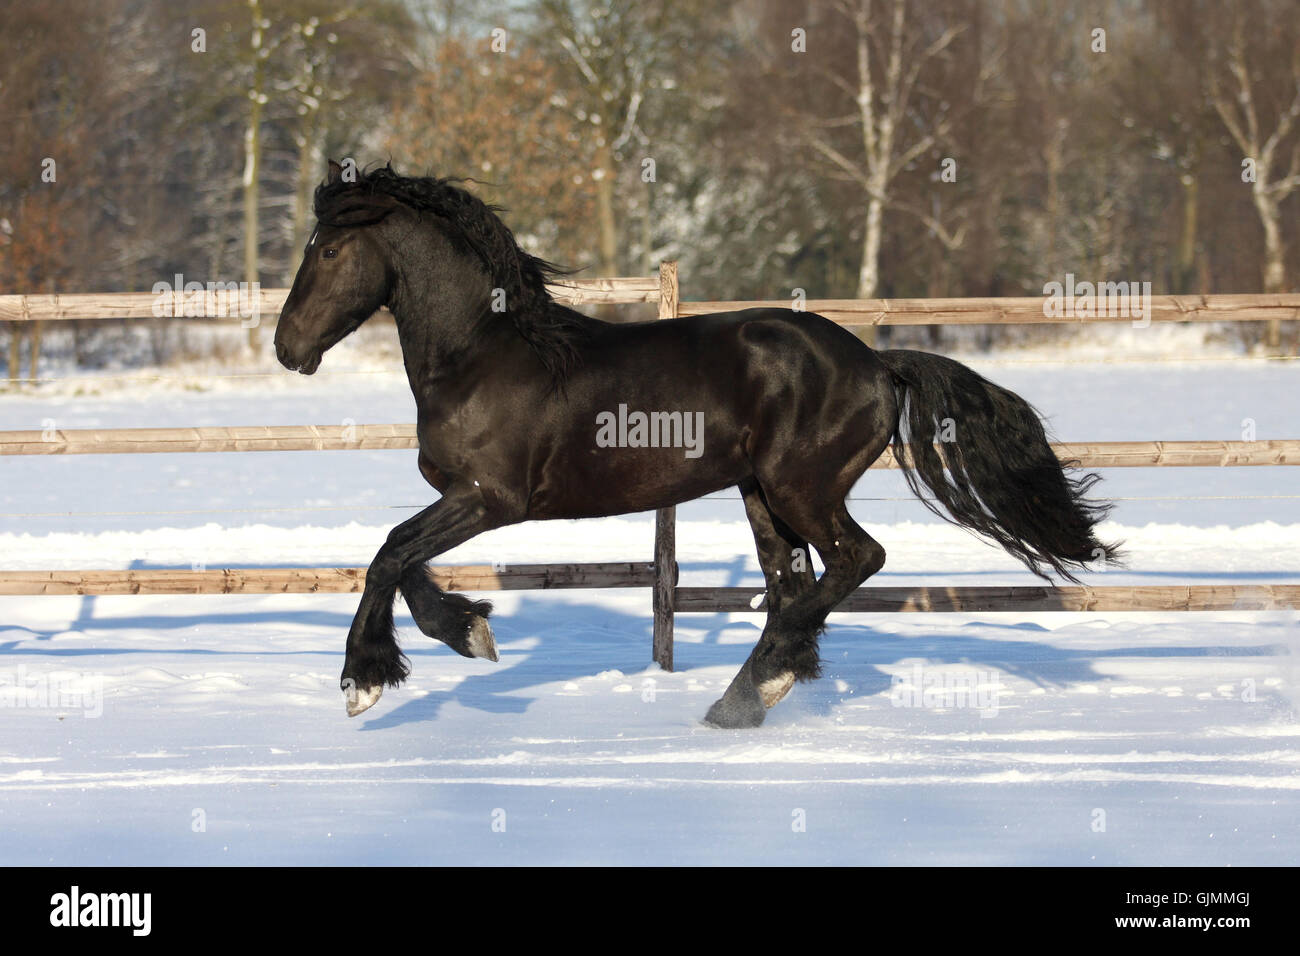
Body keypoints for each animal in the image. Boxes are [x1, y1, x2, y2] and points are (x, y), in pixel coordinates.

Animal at [271, 164, 1118, 728]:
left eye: (330, 252)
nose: (287, 347)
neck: (484, 353)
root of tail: (878, 364)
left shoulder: (493, 498)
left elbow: (389, 553)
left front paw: (362, 681)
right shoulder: (461, 497)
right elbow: (404, 562)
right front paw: (470, 632)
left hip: (800, 486)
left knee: (856, 559)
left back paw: (750, 689)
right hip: (760, 493)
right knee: (791, 582)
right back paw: (761, 687)